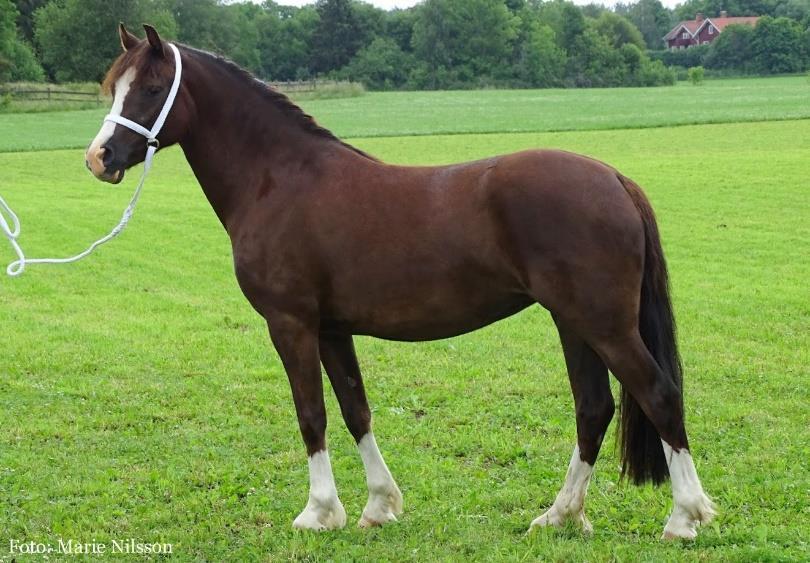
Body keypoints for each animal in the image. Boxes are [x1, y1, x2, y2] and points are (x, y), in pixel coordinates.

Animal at [85, 25, 712, 536]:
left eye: (149, 89)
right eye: (113, 87)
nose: (100, 157)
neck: (279, 179)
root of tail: (614, 178)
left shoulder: (291, 323)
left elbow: (311, 414)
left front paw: (318, 513)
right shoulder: (332, 329)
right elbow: (355, 410)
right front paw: (378, 506)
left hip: (603, 324)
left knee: (658, 394)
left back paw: (684, 517)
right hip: (573, 322)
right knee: (594, 408)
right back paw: (559, 515)